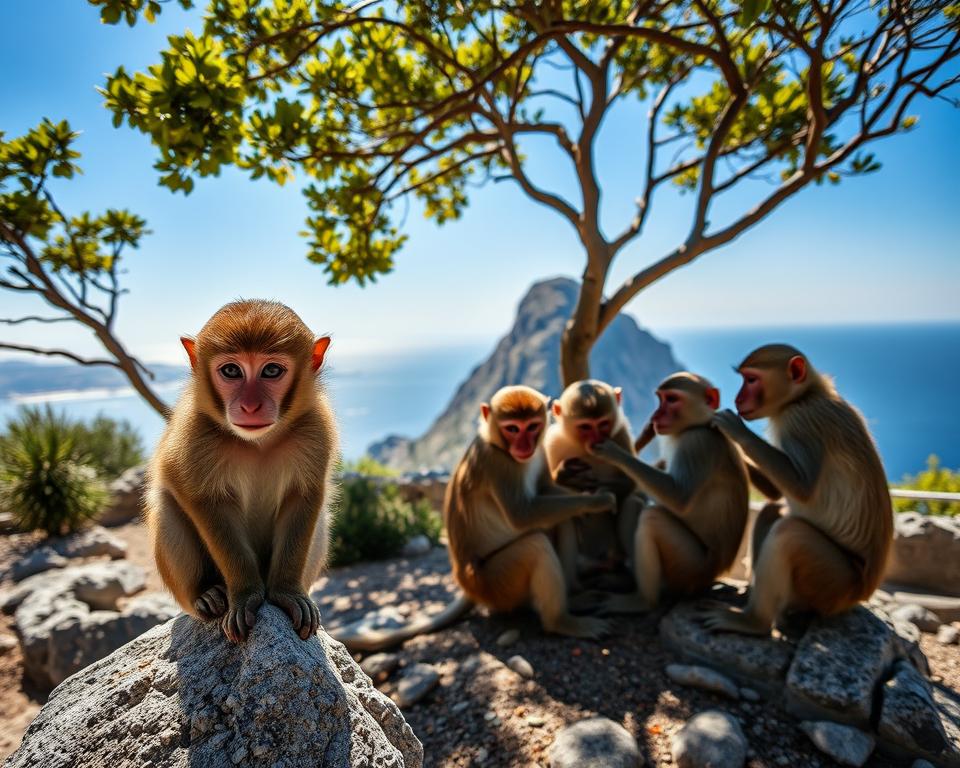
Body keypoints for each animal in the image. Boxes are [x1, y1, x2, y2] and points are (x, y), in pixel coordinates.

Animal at [145, 300, 337, 643]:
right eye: (231, 371)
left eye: (271, 370)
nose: (249, 406)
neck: (257, 442)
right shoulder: (194, 432)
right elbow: (201, 500)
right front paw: (246, 594)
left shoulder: (316, 428)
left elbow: (304, 497)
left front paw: (287, 592)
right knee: (165, 506)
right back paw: (207, 595)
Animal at [443, 385, 618, 639]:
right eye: (513, 429)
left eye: (532, 426)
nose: (524, 446)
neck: (496, 444)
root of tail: (465, 581)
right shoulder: (498, 463)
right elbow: (522, 514)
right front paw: (597, 501)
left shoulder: (540, 450)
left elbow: (545, 489)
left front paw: (587, 496)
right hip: (497, 584)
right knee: (536, 546)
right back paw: (562, 622)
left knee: (563, 521)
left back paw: (575, 596)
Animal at [543, 380, 644, 589]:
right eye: (585, 427)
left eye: (603, 424)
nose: (597, 439)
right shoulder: (552, 443)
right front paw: (565, 475)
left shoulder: (620, 434)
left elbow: (630, 482)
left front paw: (601, 493)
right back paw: (574, 584)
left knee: (633, 501)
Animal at [580, 372, 750, 614]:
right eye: (660, 398)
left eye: (672, 399)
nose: (655, 415)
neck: (699, 425)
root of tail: (712, 576)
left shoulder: (696, 443)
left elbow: (678, 497)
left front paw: (614, 452)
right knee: (634, 504)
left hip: (690, 569)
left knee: (652, 518)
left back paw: (642, 602)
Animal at [699, 344, 893, 635]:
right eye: (744, 379)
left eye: (751, 380)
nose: (738, 398)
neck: (805, 396)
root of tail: (862, 592)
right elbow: (776, 493)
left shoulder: (801, 421)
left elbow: (802, 489)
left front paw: (735, 430)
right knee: (773, 511)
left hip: (833, 584)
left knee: (788, 535)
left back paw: (754, 621)